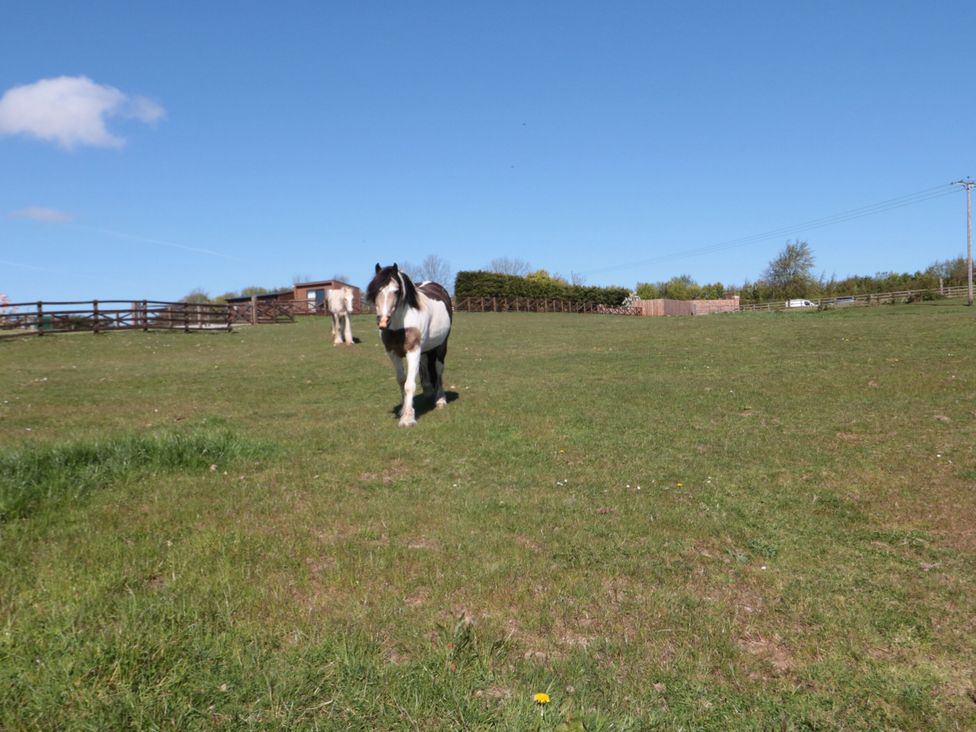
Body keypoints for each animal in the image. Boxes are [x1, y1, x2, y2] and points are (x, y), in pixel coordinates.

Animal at [366, 263, 453, 427]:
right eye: (376, 291)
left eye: (396, 291)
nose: (383, 322)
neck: (400, 324)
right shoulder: (392, 352)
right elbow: (401, 380)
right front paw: (403, 409)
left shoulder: (413, 351)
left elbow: (409, 384)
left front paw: (407, 419)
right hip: (425, 349)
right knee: (425, 364)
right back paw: (428, 392)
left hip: (441, 346)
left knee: (438, 370)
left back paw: (440, 399)